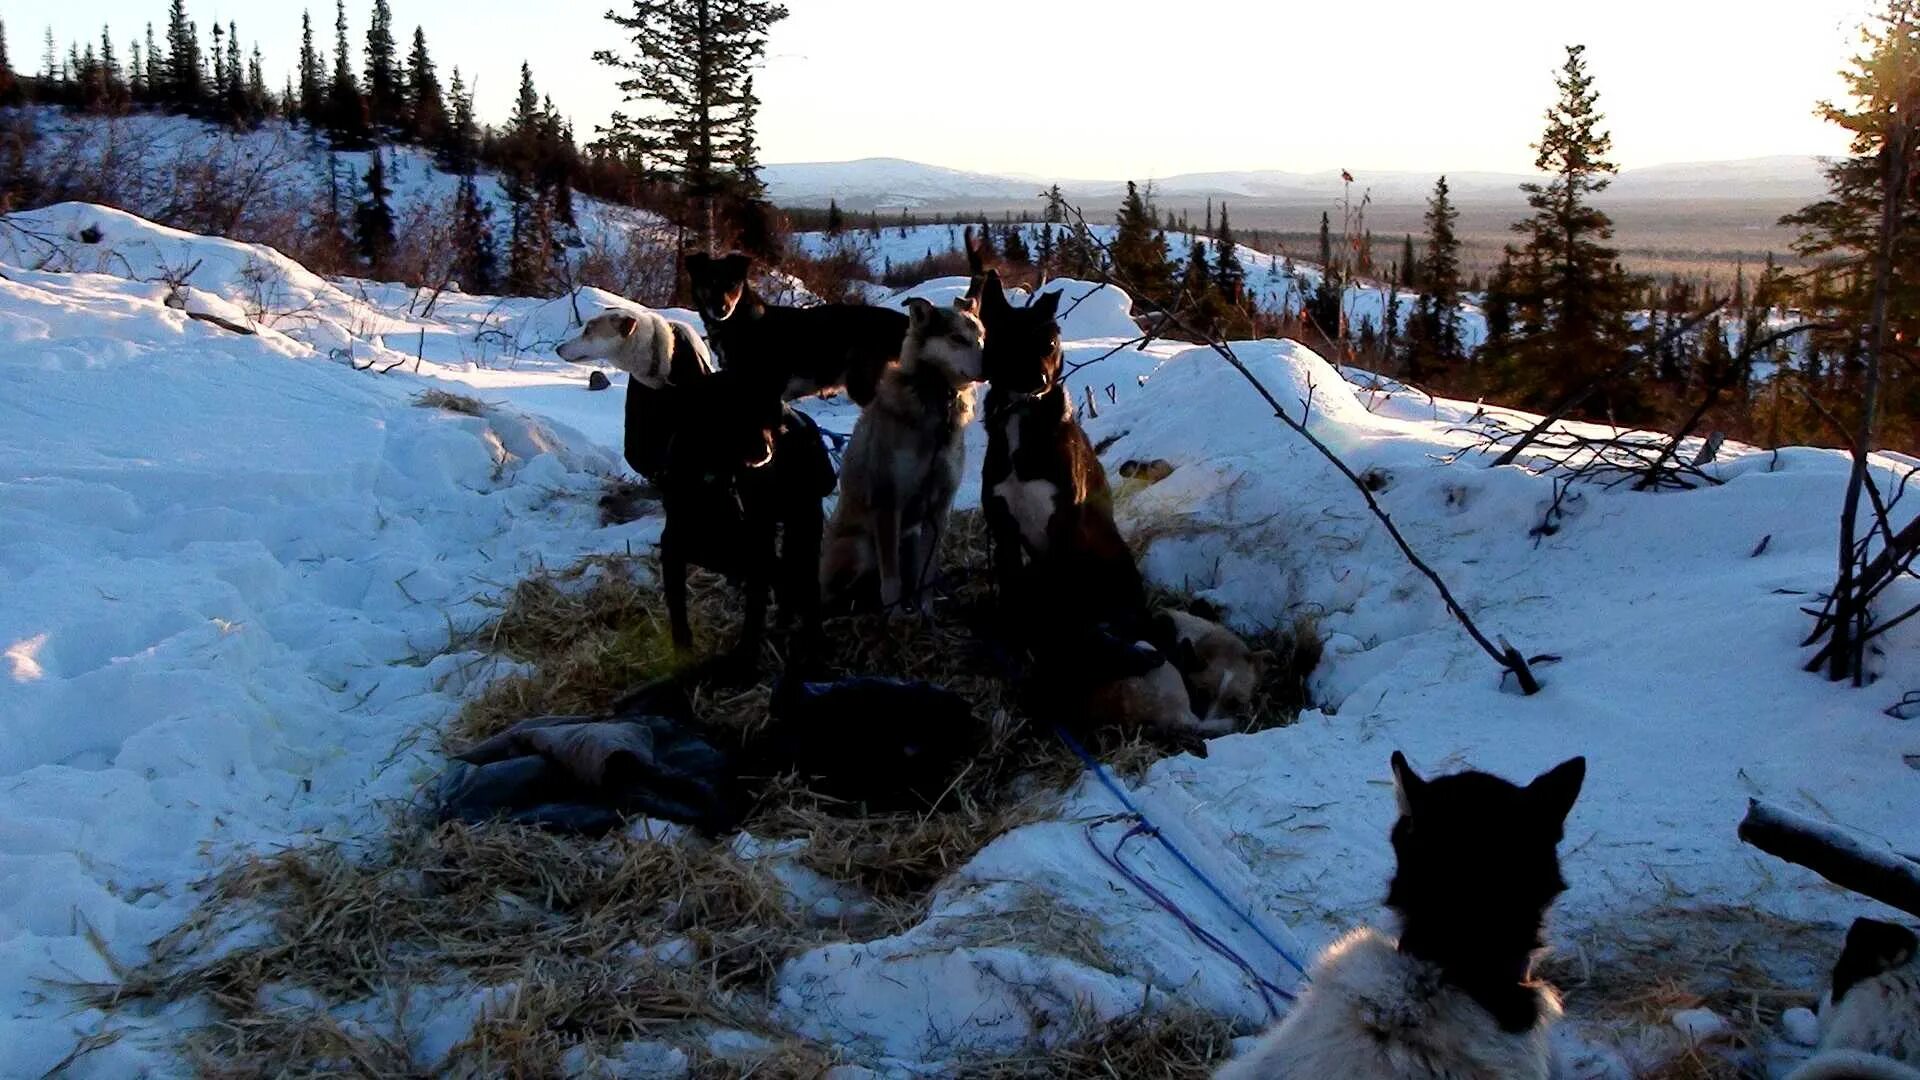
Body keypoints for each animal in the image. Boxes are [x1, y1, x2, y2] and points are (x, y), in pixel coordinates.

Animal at [664, 365, 837, 661]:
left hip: (803, 520)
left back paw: (813, 637)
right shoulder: (676, 545)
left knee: (803, 580)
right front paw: (682, 654)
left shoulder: (757, 546)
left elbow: (760, 601)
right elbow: (677, 613)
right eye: (733, 413)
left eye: (769, 414)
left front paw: (746, 652)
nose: (765, 450)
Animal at [817, 294, 983, 614]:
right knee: (838, 594)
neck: (937, 404)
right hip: (859, 548)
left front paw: (927, 613)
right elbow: (891, 580)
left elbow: (927, 575)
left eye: (982, 336)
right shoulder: (887, 502)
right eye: (957, 338)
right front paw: (895, 617)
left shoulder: (938, 509)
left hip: (911, 538)